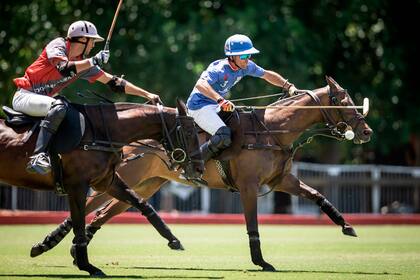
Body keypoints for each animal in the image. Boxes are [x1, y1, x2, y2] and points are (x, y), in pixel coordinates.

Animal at [0, 99, 203, 276]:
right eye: (189, 132)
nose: (199, 168)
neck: (102, 134)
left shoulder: (107, 181)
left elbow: (141, 203)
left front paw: (173, 239)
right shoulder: (77, 185)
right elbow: (79, 224)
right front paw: (88, 266)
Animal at [33, 76, 374, 272]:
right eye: (345, 103)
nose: (367, 132)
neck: (274, 129)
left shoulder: (281, 181)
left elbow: (317, 195)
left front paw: (347, 226)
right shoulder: (249, 186)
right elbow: (252, 224)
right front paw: (261, 261)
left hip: (146, 185)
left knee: (105, 211)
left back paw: (73, 249)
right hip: (124, 177)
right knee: (91, 205)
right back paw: (48, 243)